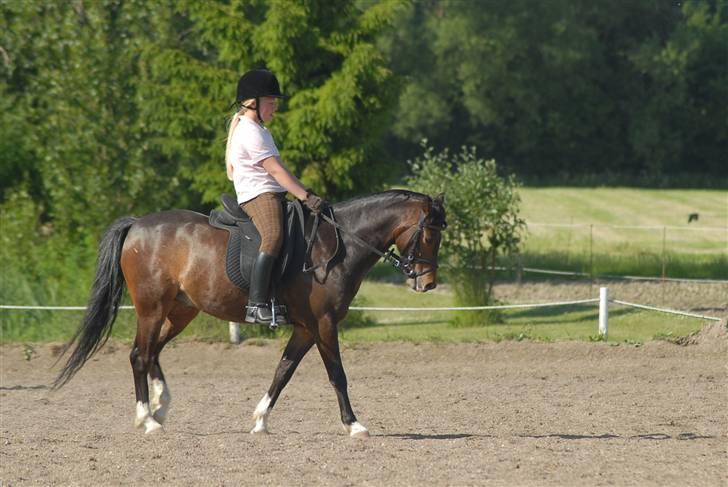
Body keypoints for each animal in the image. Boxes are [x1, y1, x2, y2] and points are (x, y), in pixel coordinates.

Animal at [53, 190, 446, 438]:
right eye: (430, 235)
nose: (427, 283)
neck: (338, 246)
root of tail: (136, 225)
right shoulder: (323, 324)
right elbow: (338, 375)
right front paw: (354, 425)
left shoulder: (305, 328)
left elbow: (283, 372)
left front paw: (260, 421)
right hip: (151, 308)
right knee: (139, 355)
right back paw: (147, 419)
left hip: (180, 311)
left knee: (153, 352)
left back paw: (160, 407)